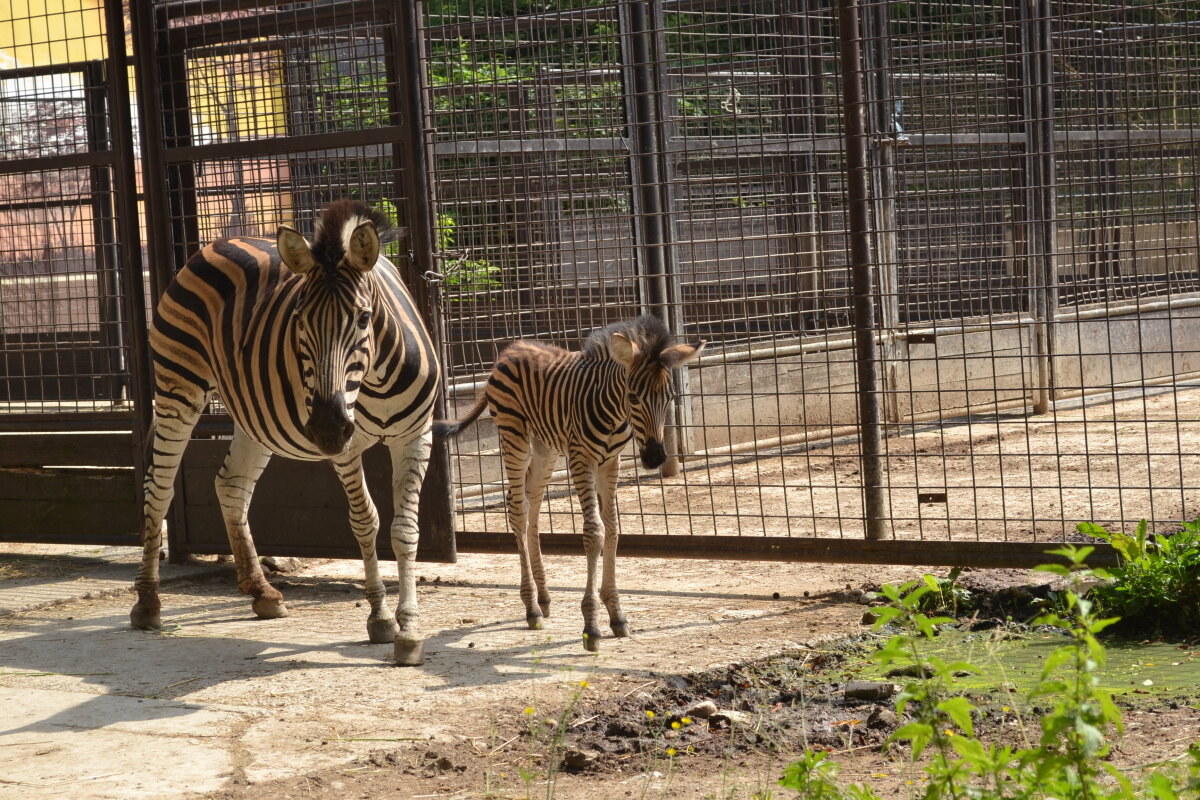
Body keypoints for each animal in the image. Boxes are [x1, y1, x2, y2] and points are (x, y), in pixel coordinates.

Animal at [130, 198, 440, 666]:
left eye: (364, 318)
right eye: (299, 319)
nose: (326, 428)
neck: (378, 378)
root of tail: (217, 243)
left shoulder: (415, 436)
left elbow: (405, 531)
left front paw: (409, 630)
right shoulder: (347, 449)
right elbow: (365, 521)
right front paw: (381, 617)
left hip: (252, 415)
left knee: (231, 485)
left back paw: (262, 593)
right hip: (177, 386)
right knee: (158, 490)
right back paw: (148, 603)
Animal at [434, 315, 705, 652]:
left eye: (669, 398)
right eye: (633, 397)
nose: (656, 457)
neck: (614, 412)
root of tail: (509, 350)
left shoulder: (610, 463)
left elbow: (613, 528)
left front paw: (616, 614)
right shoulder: (581, 459)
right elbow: (594, 531)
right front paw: (592, 626)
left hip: (545, 447)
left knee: (533, 504)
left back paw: (543, 597)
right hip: (514, 436)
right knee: (517, 510)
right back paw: (531, 607)